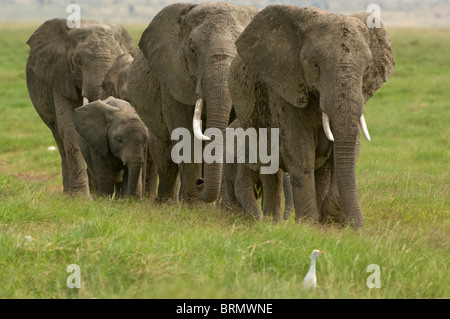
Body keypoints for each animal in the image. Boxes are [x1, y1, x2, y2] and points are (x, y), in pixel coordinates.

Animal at [25, 19, 134, 198]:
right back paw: (68, 194)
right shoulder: (60, 73)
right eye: (78, 61)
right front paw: (82, 198)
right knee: (59, 138)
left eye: (117, 57)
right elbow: (69, 127)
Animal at [128, 2, 258, 204]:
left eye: (239, 49)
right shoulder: (173, 79)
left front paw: (217, 206)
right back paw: (165, 203)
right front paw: (194, 206)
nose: (200, 182)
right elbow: (185, 134)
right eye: (193, 50)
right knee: (165, 156)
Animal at [229, 5, 394, 230]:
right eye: (313, 64)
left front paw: (329, 219)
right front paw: (307, 225)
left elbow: (350, 148)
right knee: (271, 170)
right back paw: (272, 223)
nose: (359, 229)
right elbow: (300, 152)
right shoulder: (285, 86)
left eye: (367, 65)